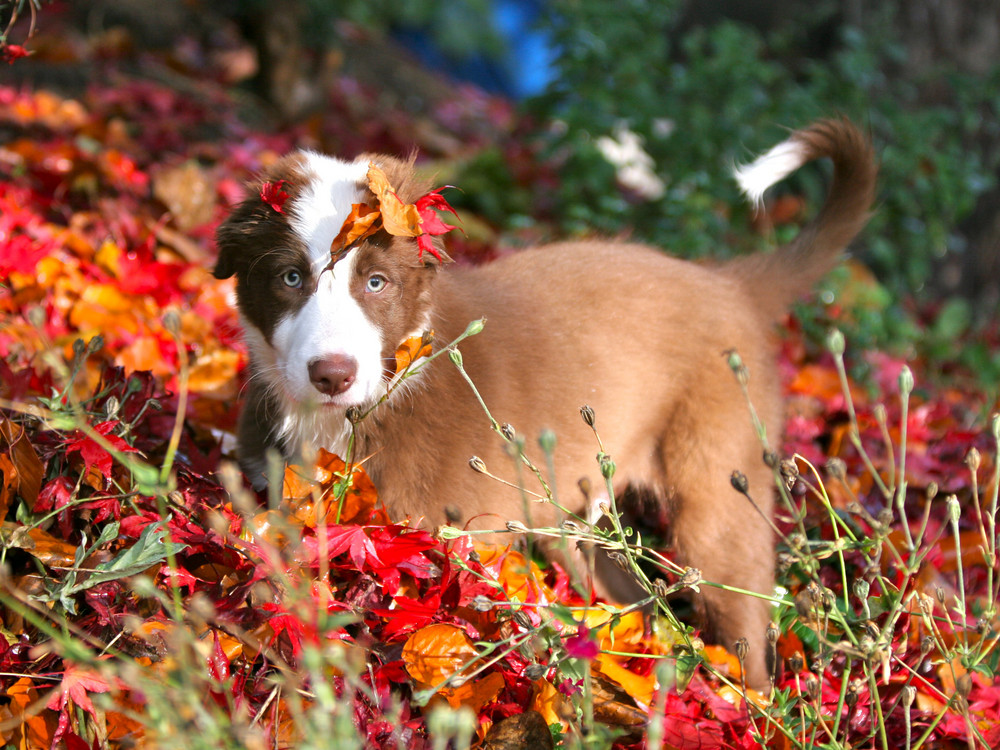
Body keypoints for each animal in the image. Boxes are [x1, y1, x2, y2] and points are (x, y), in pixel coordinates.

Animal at [213, 120, 876, 692]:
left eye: (376, 283)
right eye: (290, 278)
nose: (332, 374)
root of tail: (729, 282)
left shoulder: (455, 544)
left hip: (714, 490)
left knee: (742, 615)